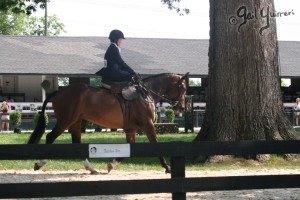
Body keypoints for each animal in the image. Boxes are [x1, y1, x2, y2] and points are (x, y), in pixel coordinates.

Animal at [27, 72, 188, 174]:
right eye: (183, 88)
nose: (181, 107)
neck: (146, 94)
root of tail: (59, 92)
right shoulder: (148, 125)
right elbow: (156, 145)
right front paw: (167, 167)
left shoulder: (131, 129)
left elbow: (129, 148)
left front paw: (111, 165)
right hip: (66, 121)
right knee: (50, 137)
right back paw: (39, 163)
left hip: (75, 122)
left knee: (76, 142)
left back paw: (91, 169)